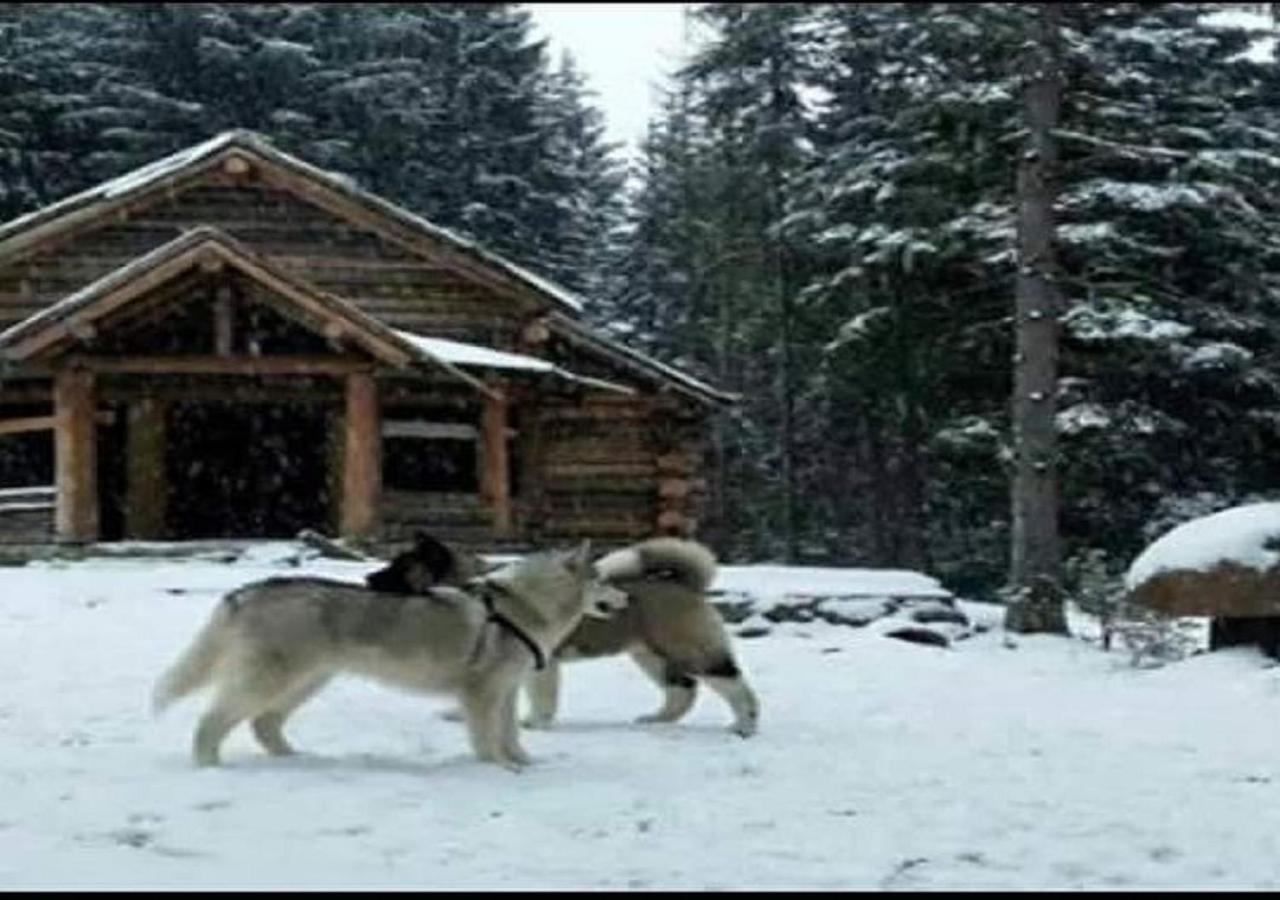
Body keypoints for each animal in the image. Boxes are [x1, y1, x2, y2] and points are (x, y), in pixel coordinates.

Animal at [153, 537, 624, 773]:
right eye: (603, 579)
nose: (627, 598)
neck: (526, 605)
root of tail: (245, 591)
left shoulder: (506, 692)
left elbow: (510, 736)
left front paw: (522, 763)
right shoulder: (481, 693)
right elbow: (487, 739)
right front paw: (498, 769)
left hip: (305, 682)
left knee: (263, 724)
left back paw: (297, 760)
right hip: (272, 680)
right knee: (212, 720)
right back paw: (209, 766)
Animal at [363, 535, 757, 737]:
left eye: (401, 565)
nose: (368, 578)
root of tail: (687, 584)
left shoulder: (541, 664)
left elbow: (541, 697)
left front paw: (536, 724)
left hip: (691, 649)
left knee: (734, 684)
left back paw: (745, 724)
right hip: (650, 655)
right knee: (682, 690)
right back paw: (657, 720)